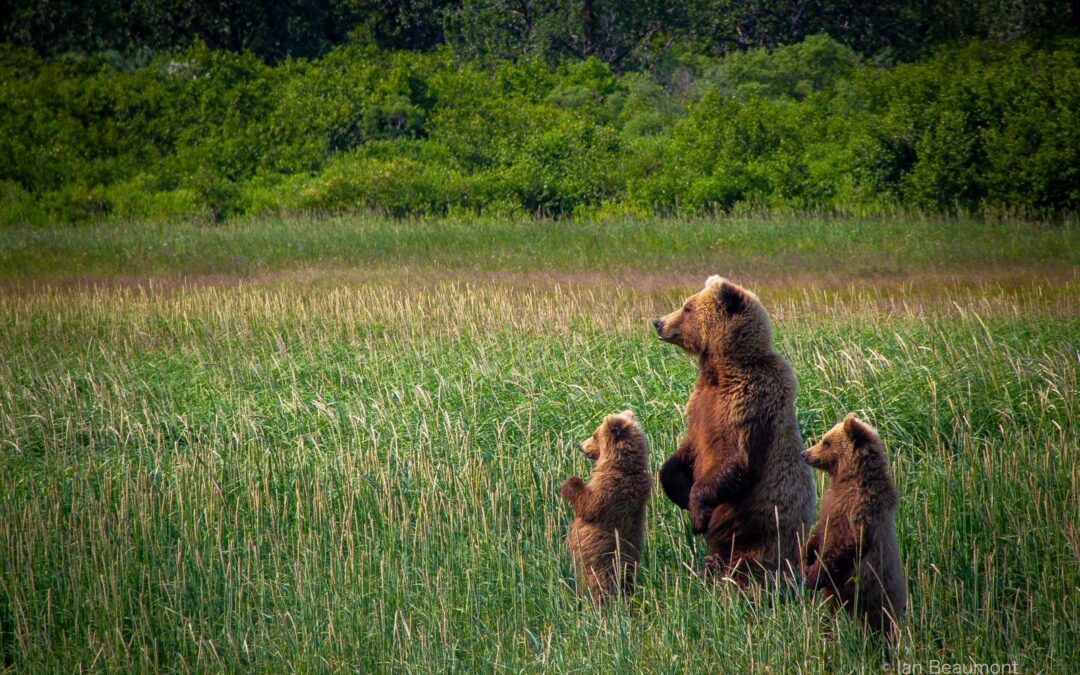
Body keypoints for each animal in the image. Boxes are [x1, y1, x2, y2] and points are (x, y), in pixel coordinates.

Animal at [561, 410, 653, 602]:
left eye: (595, 435)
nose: (580, 445)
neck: (622, 465)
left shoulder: (609, 488)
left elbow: (588, 505)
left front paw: (571, 482)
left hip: (598, 568)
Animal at [653, 276, 815, 586]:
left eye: (687, 308)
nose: (658, 322)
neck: (722, 368)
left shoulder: (747, 404)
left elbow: (735, 460)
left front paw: (698, 514)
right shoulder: (702, 406)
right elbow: (685, 453)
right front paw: (681, 492)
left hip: (762, 531)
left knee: (752, 563)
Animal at [802, 413, 906, 639]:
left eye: (826, 442)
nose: (804, 453)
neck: (850, 479)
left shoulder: (860, 510)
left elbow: (845, 543)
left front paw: (813, 576)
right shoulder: (831, 506)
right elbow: (820, 532)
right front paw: (805, 555)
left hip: (874, 599)